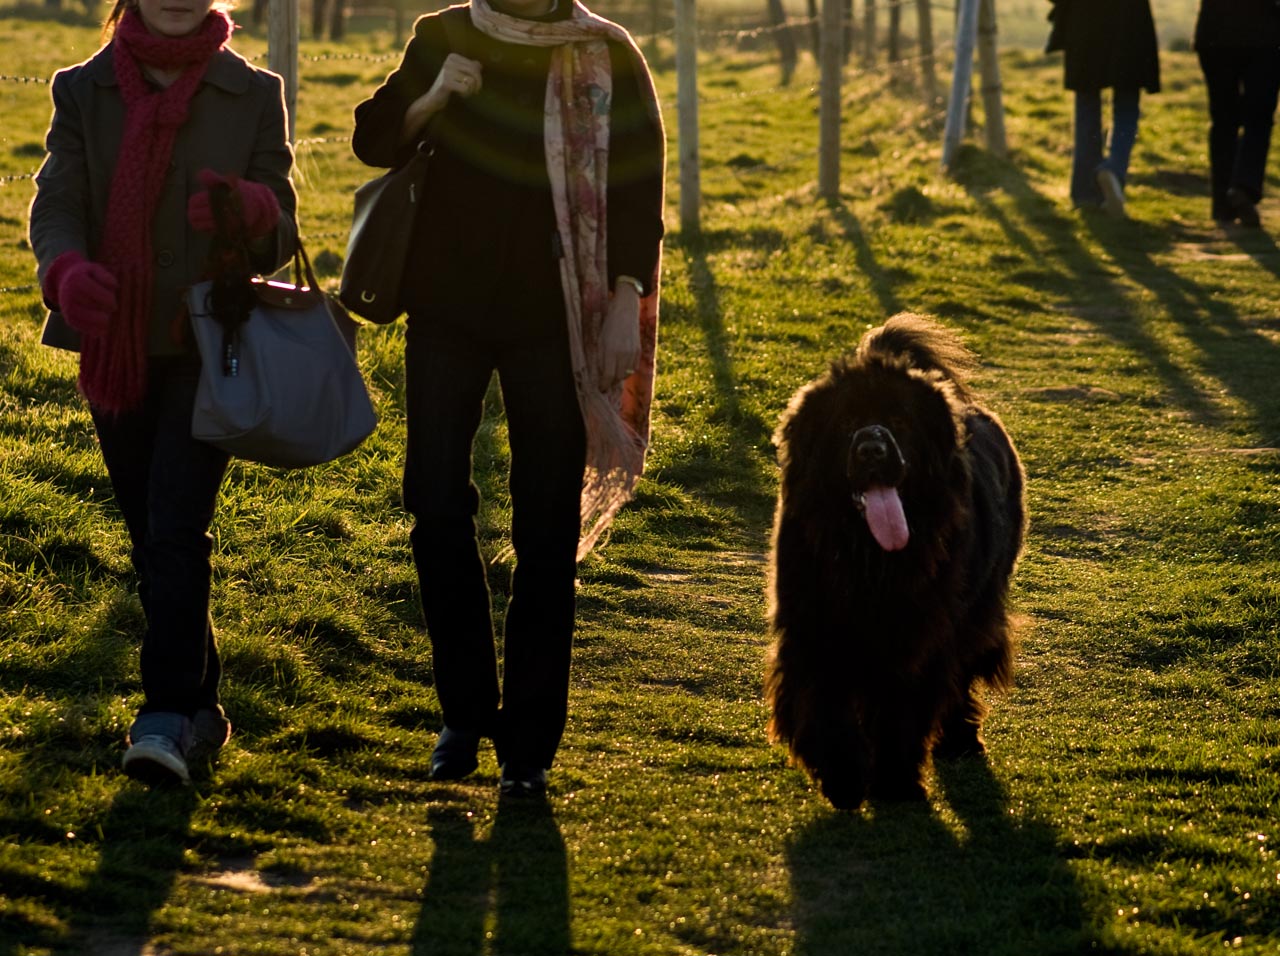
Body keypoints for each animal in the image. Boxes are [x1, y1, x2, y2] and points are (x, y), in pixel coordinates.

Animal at [762, 313, 1024, 808]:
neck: (869, 560)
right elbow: (826, 706)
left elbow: (903, 711)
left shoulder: (918, 637)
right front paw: (843, 777)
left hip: (977, 608)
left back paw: (960, 739)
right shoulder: (813, 628)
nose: (872, 449)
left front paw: (895, 783)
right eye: (847, 422)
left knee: (962, 671)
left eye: (900, 422)